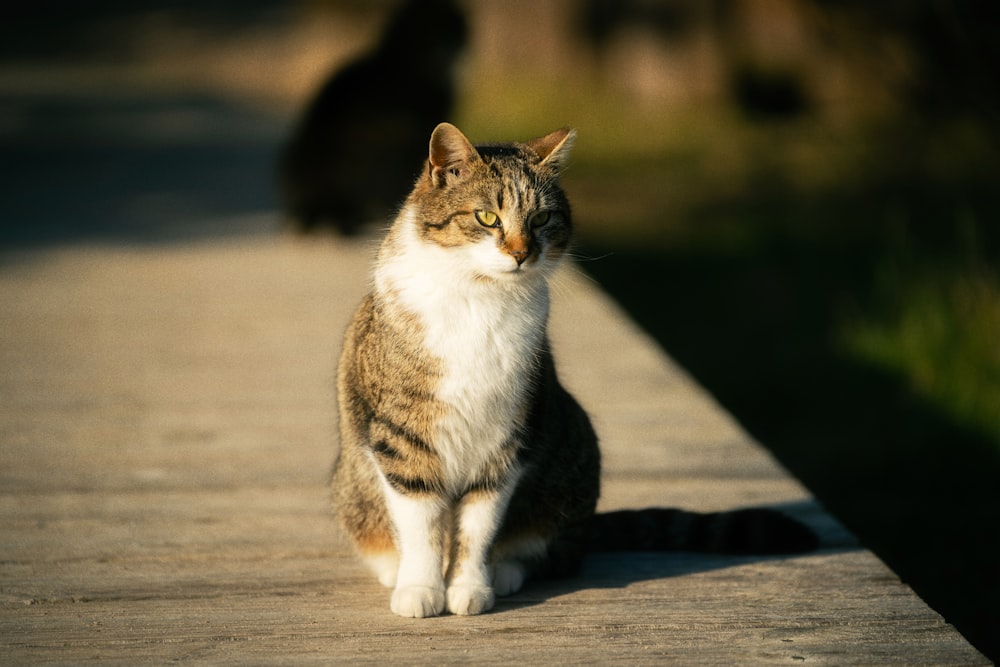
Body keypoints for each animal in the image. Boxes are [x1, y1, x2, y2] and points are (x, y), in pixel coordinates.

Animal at [332, 122, 816, 620]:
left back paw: (507, 570)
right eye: (487, 217)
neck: (480, 299)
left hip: (571, 451)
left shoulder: (507, 440)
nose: (521, 254)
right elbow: (422, 525)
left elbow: (478, 527)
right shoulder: (401, 439)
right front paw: (421, 588)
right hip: (356, 484)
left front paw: (470, 586)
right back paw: (395, 571)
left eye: (541, 220)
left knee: (557, 551)